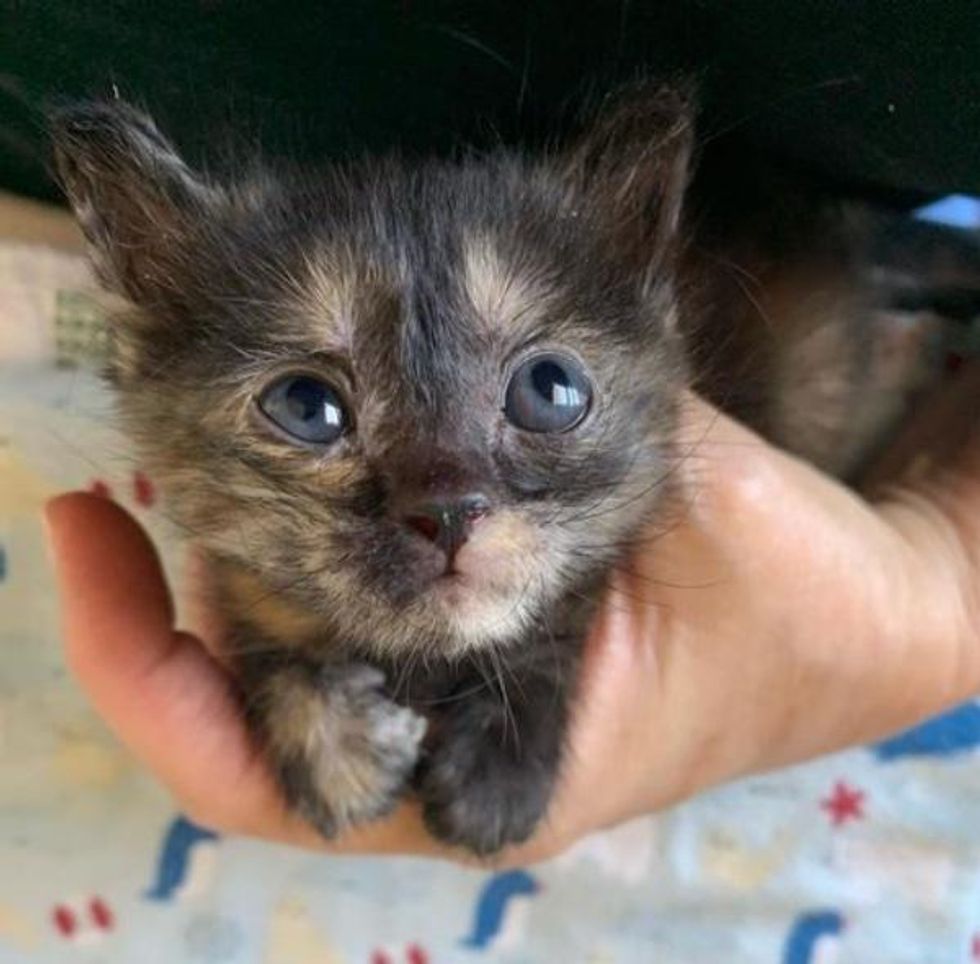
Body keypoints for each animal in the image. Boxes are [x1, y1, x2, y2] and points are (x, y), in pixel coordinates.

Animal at [47, 83, 948, 852]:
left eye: (549, 390)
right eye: (307, 407)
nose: (449, 509)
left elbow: (553, 631)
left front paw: (496, 771)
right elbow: (272, 636)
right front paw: (336, 745)